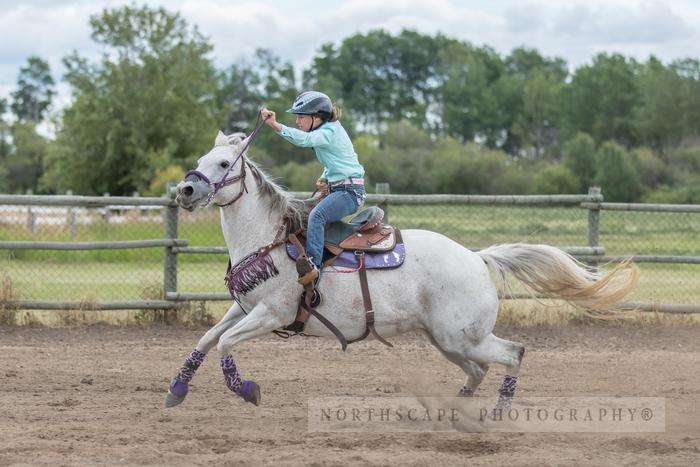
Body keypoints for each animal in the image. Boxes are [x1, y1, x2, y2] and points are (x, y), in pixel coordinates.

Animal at [165, 131, 640, 410]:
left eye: (223, 164)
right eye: (202, 158)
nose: (185, 190)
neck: (270, 238)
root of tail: (476, 256)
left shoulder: (271, 314)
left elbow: (226, 343)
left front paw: (247, 390)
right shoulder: (244, 307)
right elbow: (206, 339)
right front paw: (176, 390)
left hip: (461, 337)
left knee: (512, 354)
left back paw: (499, 410)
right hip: (449, 340)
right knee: (478, 371)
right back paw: (454, 409)